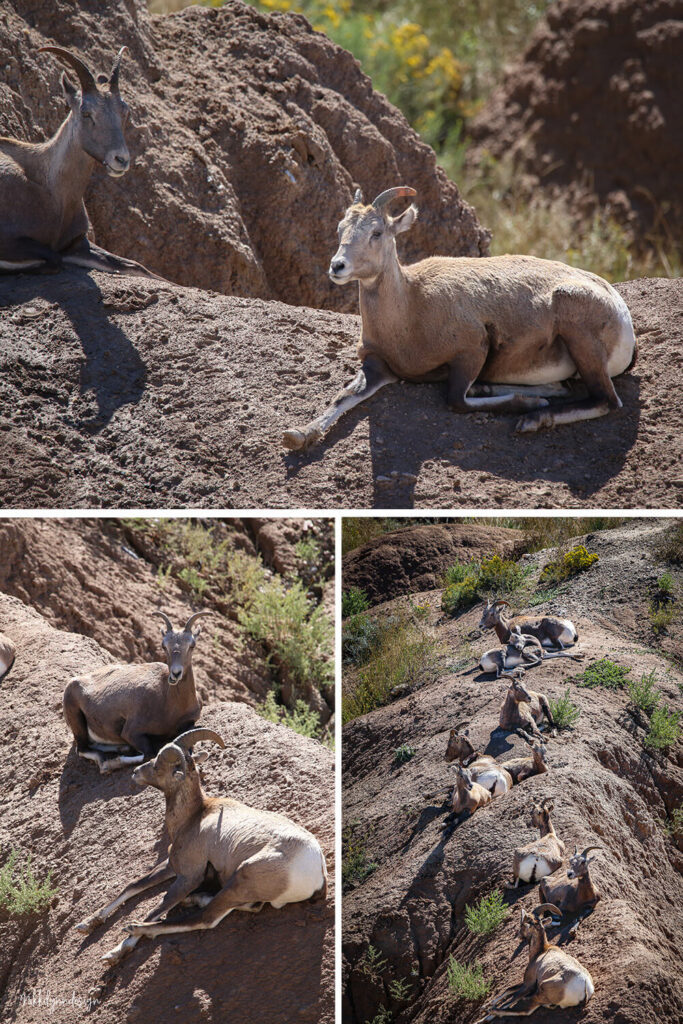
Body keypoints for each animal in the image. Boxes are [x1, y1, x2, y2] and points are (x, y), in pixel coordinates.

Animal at [0, 46, 159, 278]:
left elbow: (139, 267)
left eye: (125, 111)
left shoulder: (79, 243)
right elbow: (54, 258)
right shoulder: (11, 239)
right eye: (86, 113)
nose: (120, 159)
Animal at [63, 610, 209, 773]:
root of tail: (74, 682)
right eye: (164, 646)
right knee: (83, 749)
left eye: (192, 645)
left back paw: (122, 748)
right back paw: (107, 762)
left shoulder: (189, 724)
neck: (172, 703)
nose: (175, 674)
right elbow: (150, 754)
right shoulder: (131, 732)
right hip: (77, 721)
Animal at [75, 728, 327, 964]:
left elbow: (156, 909)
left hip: (241, 878)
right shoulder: (170, 865)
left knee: (204, 918)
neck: (195, 815)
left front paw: (116, 952)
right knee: (246, 906)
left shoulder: (188, 877)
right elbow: (133, 886)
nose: (136, 773)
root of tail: (317, 874)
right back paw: (192, 900)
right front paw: (87, 924)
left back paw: (136, 926)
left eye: (157, 765)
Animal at [282, 184, 636, 451]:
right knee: (562, 388)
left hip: (579, 332)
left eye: (377, 232)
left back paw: (533, 418)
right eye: (340, 229)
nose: (337, 266)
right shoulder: (379, 367)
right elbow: (343, 396)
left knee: (606, 400)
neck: (411, 310)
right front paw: (298, 435)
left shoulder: (471, 351)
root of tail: (623, 319)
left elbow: (455, 401)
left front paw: (525, 404)